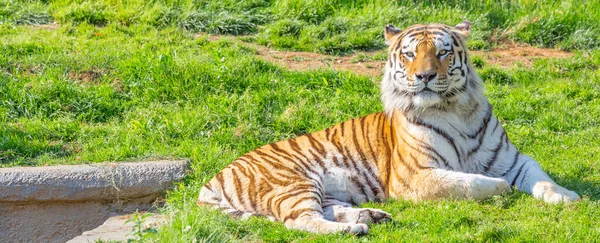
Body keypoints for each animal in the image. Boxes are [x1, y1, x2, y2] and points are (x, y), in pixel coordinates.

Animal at [198, 21, 580, 235]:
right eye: (410, 54)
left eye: (443, 52)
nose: (424, 76)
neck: (455, 109)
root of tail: (213, 177)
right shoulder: (415, 175)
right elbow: (469, 183)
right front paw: (500, 188)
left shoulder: (513, 159)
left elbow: (541, 178)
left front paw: (569, 197)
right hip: (292, 183)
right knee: (299, 220)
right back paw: (354, 229)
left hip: (324, 189)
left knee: (326, 209)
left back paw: (371, 216)